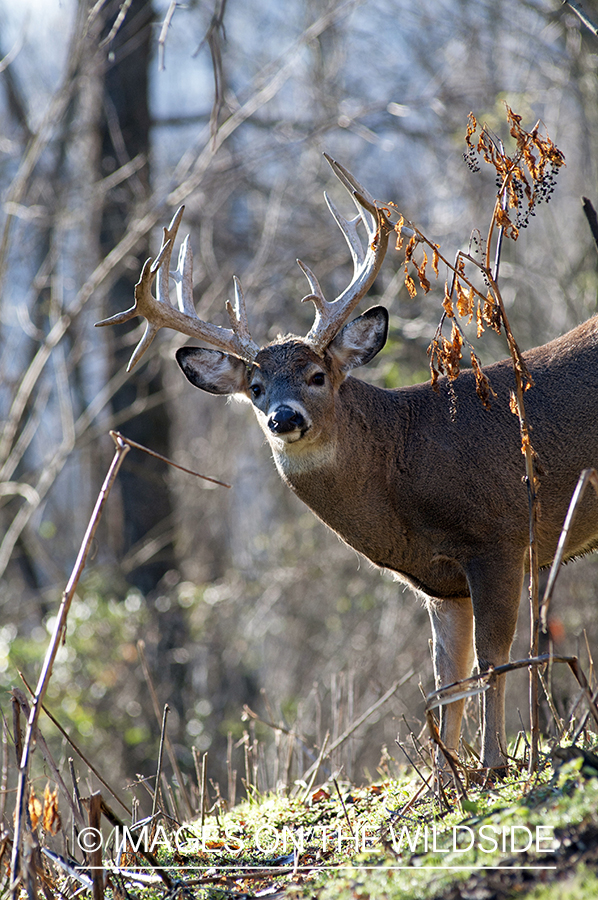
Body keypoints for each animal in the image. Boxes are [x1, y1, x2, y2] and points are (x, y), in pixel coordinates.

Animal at [96, 160, 598, 768]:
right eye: (256, 388)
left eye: (317, 375)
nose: (283, 417)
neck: (404, 460)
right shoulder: (440, 584)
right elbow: (446, 680)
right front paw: (447, 777)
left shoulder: (499, 536)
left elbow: (492, 659)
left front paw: (493, 764)